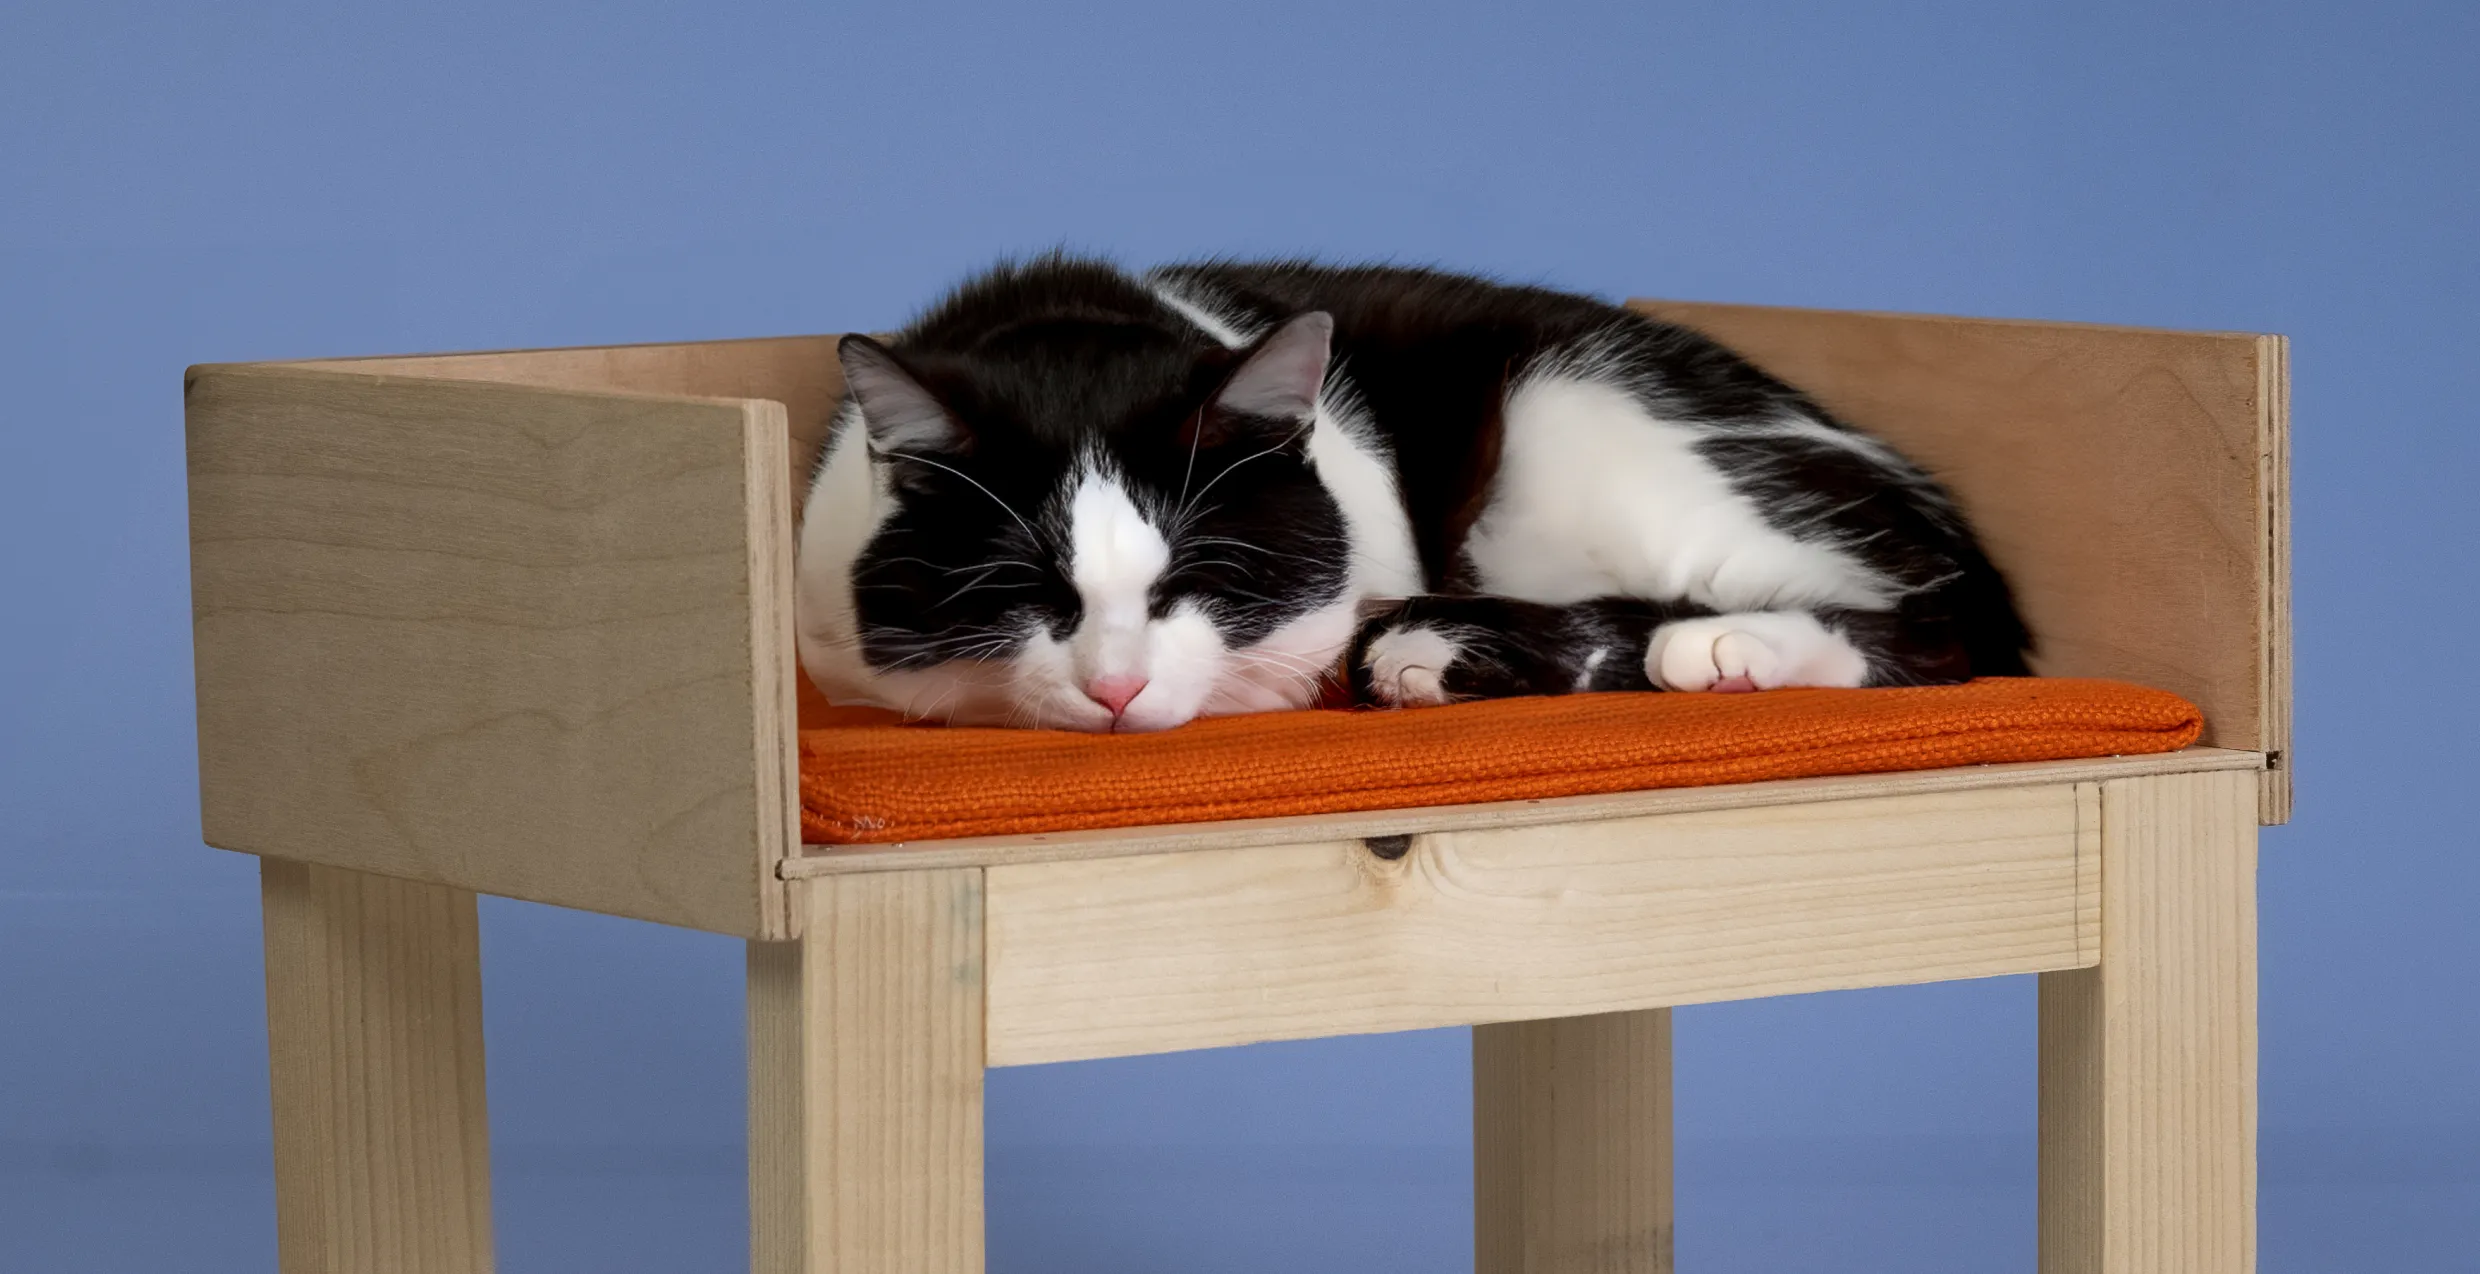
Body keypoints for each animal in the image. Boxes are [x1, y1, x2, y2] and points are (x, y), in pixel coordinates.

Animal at [798, 254, 2033, 728]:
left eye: (1197, 577)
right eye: (1027, 591)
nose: (1113, 688)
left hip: (1575, 414)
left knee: (1927, 630)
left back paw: (1723, 650)